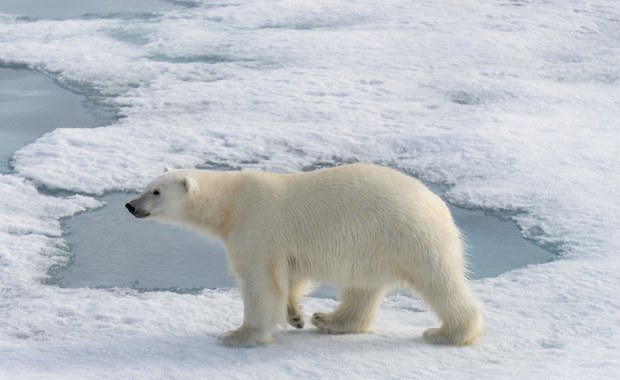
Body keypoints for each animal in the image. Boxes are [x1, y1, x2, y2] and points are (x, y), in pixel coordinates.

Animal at [126, 164, 482, 348]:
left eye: (155, 191)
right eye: (145, 185)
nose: (130, 205)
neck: (231, 203)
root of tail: (439, 204)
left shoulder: (257, 224)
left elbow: (259, 281)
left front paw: (238, 335)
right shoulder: (283, 245)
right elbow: (290, 276)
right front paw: (295, 315)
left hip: (408, 235)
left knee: (439, 281)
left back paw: (447, 333)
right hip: (373, 246)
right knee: (363, 288)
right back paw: (329, 320)